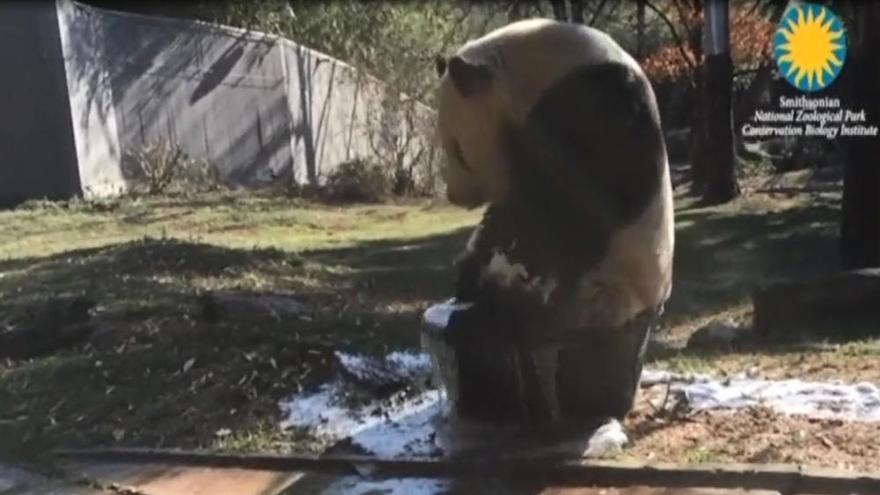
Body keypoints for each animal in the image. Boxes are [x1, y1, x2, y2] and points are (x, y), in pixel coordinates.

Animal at [434, 18, 672, 422]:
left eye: (458, 151)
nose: (455, 196)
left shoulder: (588, 103)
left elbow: (578, 203)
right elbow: (509, 212)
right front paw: (467, 270)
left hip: (597, 295)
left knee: (533, 313)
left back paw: (489, 316)